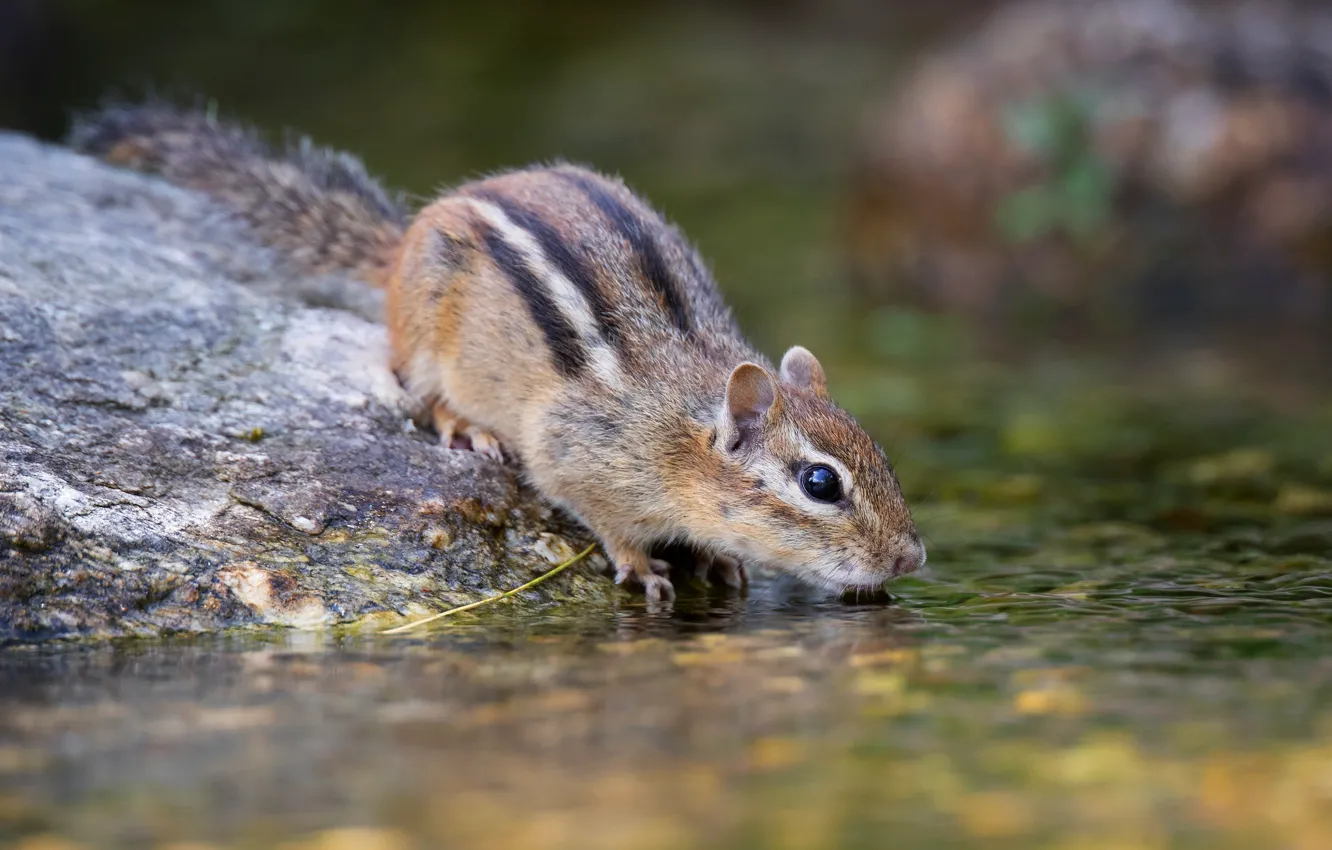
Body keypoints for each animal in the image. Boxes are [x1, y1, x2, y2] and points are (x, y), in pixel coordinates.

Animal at [71, 103, 926, 603]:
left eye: (882, 456)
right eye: (820, 483)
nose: (912, 559)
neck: (679, 428)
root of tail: (403, 242)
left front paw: (721, 562)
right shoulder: (574, 451)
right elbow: (600, 515)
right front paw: (644, 564)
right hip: (425, 332)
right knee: (416, 386)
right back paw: (467, 425)